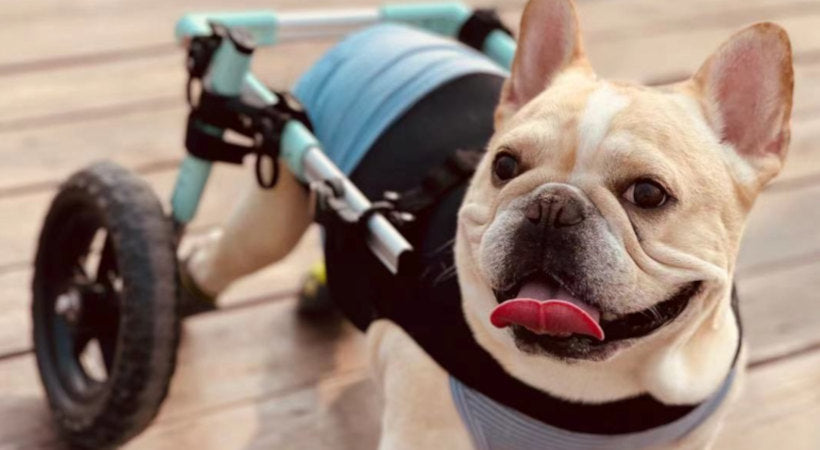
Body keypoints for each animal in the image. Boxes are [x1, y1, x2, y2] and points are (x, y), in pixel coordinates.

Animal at [187, 0, 796, 446]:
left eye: (647, 193)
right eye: (504, 165)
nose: (553, 205)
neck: (589, 393)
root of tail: (371, 34)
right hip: (271, 211)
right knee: (232, 252)